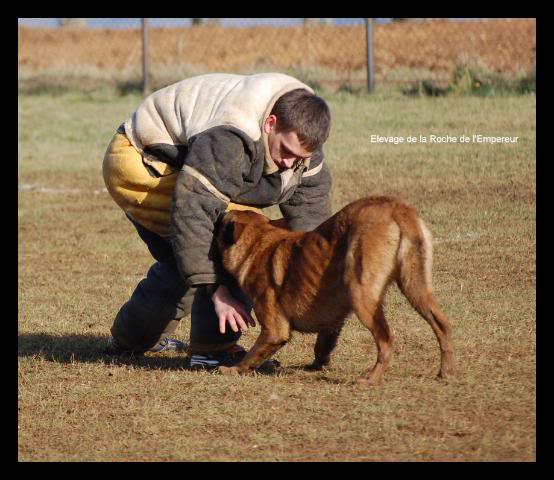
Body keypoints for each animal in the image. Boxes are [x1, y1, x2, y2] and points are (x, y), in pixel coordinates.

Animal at [213, 195, 450, 386]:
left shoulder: (274, 330)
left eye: (221, 222)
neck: (258, 243)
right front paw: (319, 364)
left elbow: (253, 354)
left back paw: (371, 378)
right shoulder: (331, 318)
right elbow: (323, 342)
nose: (218, 210)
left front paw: (233, 369)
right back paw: (445, 372)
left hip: (362, 295)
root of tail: (395, 207)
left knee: (386, 340)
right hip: (416, 287)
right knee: (442, 325)